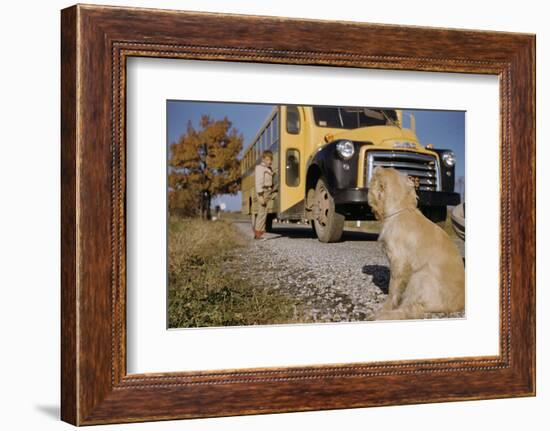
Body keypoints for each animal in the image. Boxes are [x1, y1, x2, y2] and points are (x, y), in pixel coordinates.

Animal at [368, 168, 468, 320]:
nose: (376, 167)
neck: (400, 209)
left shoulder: (398, 261)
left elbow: (393, 288)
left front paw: (385, 307)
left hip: (420, 275)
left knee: (413, 309)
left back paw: (381, 315)